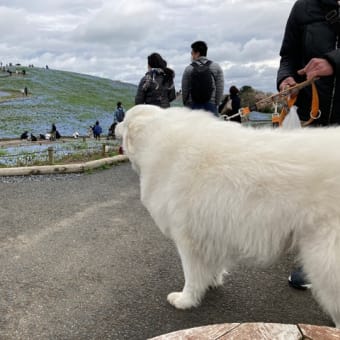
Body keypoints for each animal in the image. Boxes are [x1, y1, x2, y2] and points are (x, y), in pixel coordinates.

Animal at [116, 103, 340, 326]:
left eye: (124, 119)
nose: (115, 126)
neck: (157, 137)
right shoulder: (210, 235)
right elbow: (210, 268)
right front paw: (211, 282)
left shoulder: (188, 241)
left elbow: (191, 276)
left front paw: (185, 300)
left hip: (325, 260)